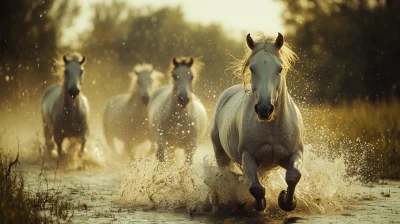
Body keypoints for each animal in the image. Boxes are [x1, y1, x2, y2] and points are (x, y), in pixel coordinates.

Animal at [211, 32, 302, 212]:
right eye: (252, 68)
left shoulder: (296, 153)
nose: (264, 108)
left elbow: (293, 175)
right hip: (221, 154)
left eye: (280, 68)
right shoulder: (248, 157)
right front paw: (259, 204)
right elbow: (256, 188)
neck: (272, 127)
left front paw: (287, 201)